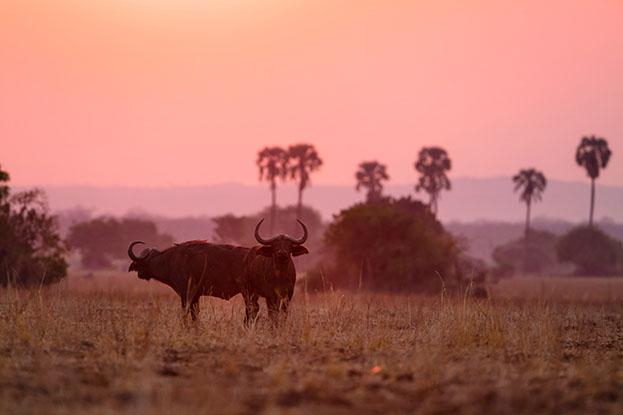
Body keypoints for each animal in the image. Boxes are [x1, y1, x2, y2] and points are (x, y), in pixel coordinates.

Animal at [127, 219, 310, 324]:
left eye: (144, 260)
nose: (282, 253)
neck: (171, 260)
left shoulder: (186, 293)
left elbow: (186, 312)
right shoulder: (195, 296)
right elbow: (195, 314)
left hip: (249, 292)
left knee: (253, 309)